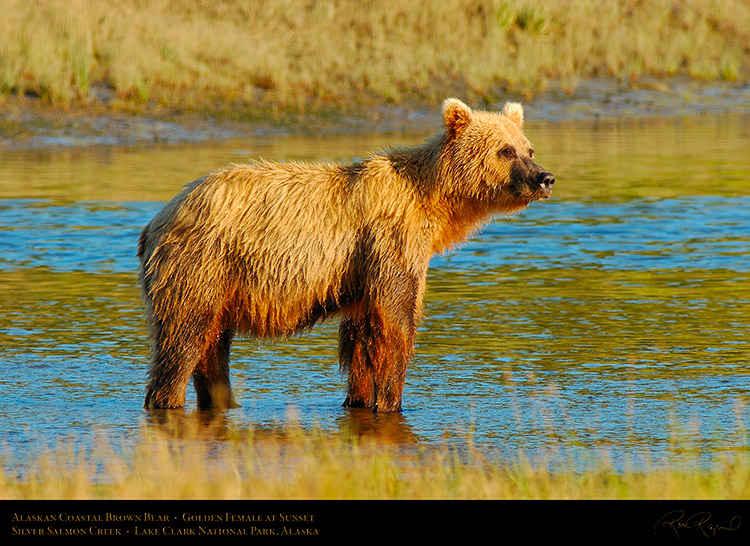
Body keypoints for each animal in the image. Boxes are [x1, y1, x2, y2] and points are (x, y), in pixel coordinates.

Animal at [138, 99, 556, 412]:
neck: (433, 206)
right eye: (505, 151)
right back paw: (166, 399)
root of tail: (160, 217)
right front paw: (393, 401)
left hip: (221, 282)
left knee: (211, 348)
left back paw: (222, 401)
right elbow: (396, 322)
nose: (544, 178)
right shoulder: (391, 241)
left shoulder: (362, 272)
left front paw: (361, 398)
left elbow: (362, 338)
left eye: (529, 148)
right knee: (182, 340)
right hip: (202, 263)